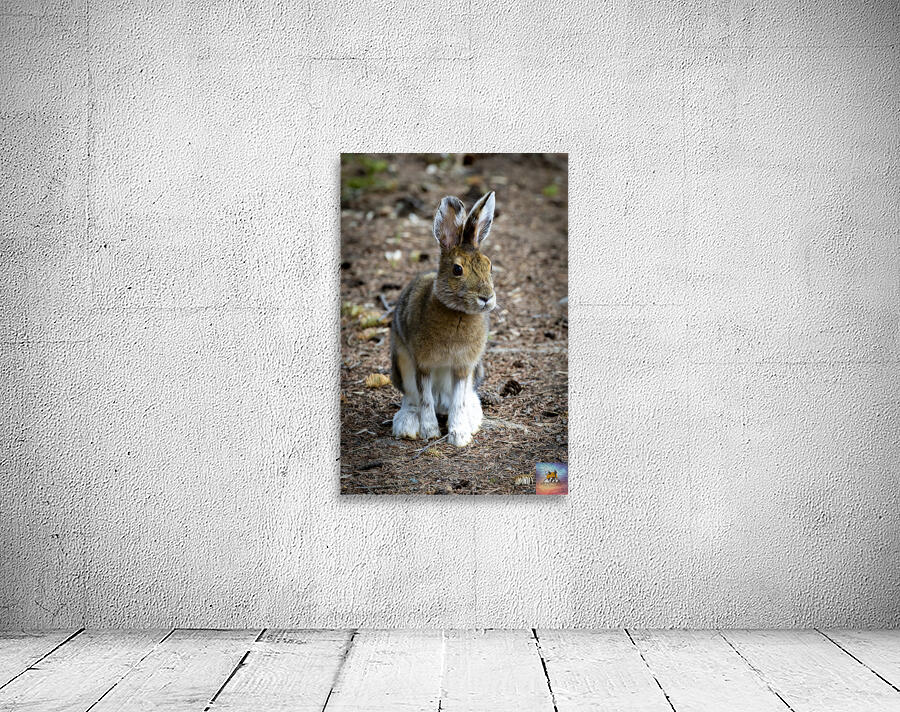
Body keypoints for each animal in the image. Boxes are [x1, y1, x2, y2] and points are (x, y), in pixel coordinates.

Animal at [390, 191, 496, 447]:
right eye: (457, 270)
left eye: (490, 266)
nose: (486, 297)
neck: (458, 313)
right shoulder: (422, 364)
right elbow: (425, 399)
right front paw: (429, 431)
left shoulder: (463, 367)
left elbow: (458, 401)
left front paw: (459, 436)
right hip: (401, 364)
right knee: (413, 398)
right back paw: (407, 425)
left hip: (476, 371)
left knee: (464, 397)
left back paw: (471, 418)